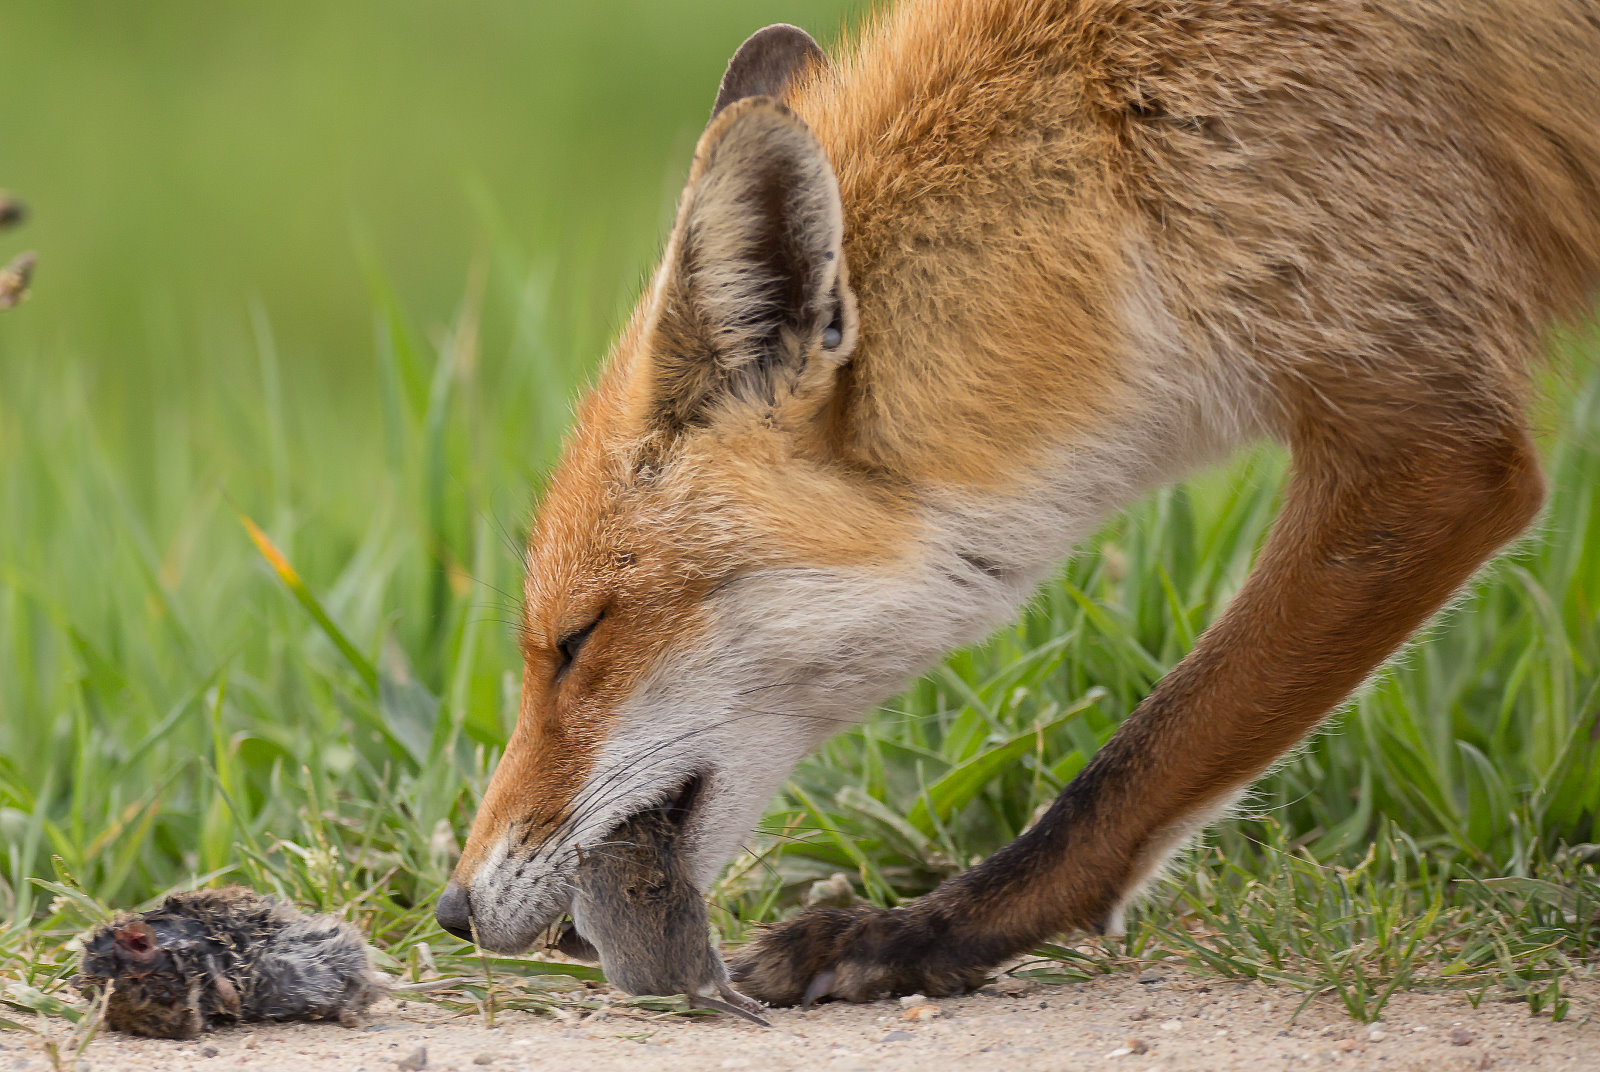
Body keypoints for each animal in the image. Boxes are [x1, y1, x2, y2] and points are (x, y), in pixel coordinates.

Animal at [435, 2, 1600, 1011]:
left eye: (576, 641)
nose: (450, 909)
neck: (1126, 148)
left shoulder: (1429, 444)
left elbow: (1135, 762)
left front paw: (914, 938)